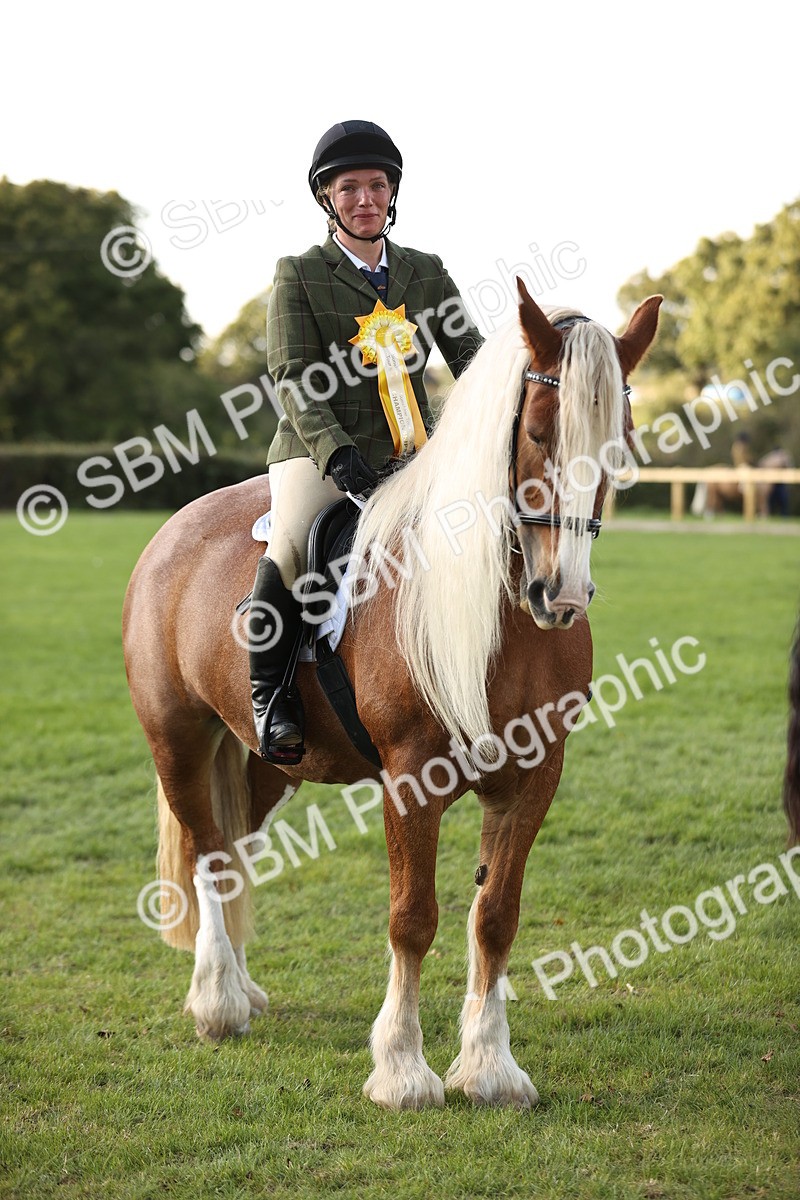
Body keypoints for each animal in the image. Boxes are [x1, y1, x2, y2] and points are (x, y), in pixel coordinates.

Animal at [122, 281, 662, 1110]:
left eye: (618, 442)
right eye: (538, 432)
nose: (561, 596)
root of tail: (174, 529)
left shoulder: (536, 776)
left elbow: (496, 916)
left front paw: (490, 1068)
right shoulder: (413, 779)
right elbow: (413, 918)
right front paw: (404, 1071)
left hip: (266, 762)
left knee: (237, 848)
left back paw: (242, 991)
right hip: (176, 739)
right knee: (210, 856)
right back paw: (217, 1003)